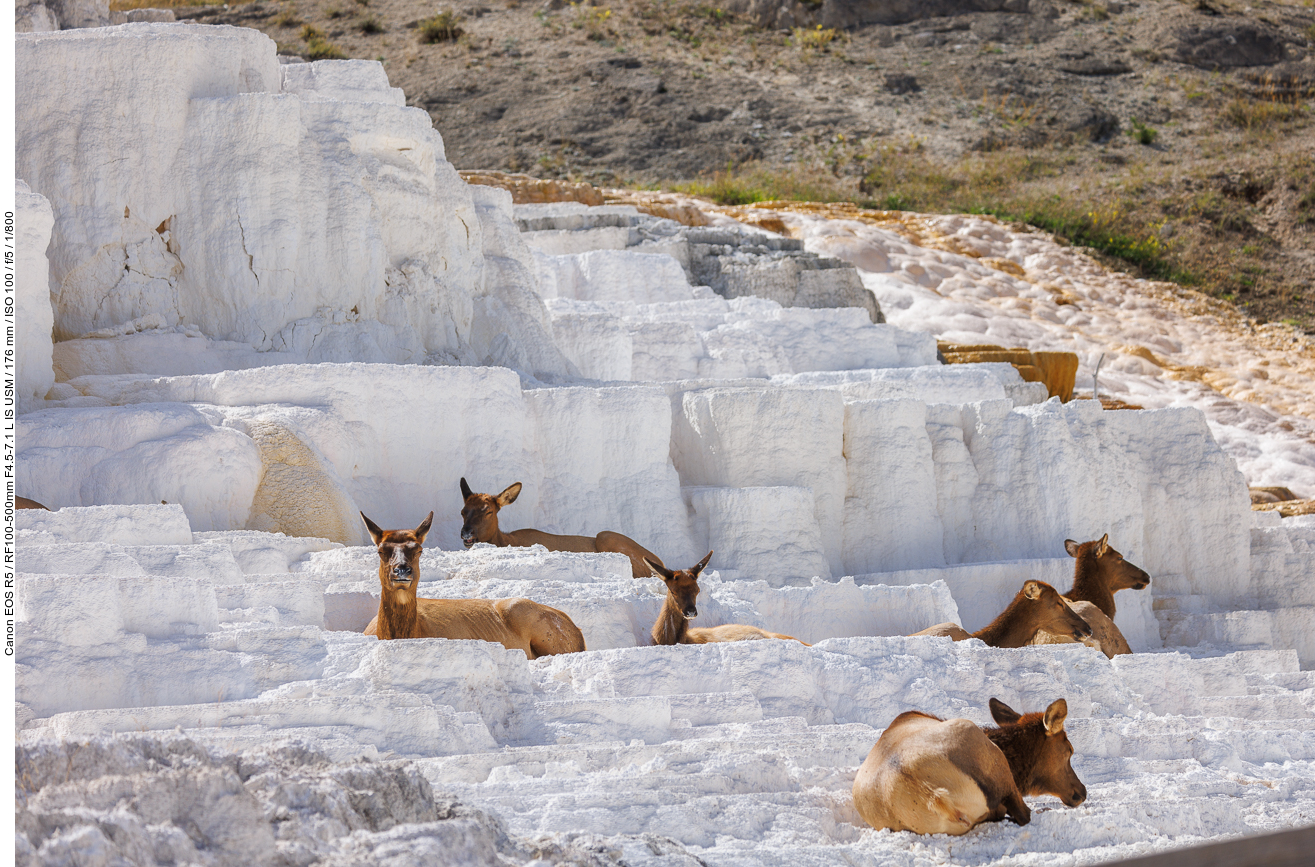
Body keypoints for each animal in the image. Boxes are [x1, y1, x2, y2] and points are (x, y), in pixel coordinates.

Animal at [462, 478, 668, 578]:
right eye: (463, 511)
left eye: (489, 511)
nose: (466, 533)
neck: (505, 541)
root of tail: (661, 563)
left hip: (607, 536)